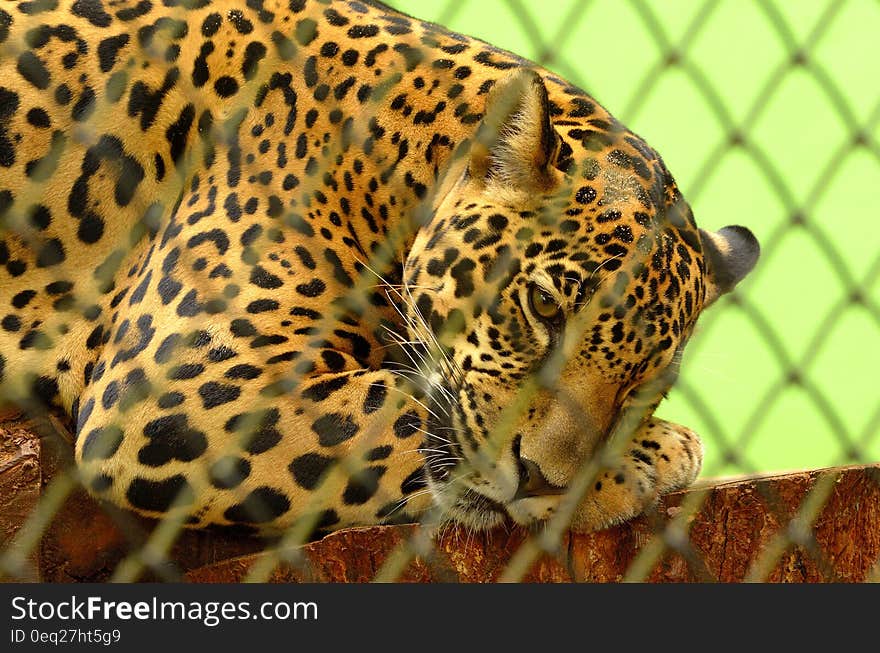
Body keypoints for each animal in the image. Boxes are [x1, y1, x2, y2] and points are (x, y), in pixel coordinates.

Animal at [0, 0, 756, 536]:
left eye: (644, 383)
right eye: (544, 306)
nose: (541, 479)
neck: (397, 154)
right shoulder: (178, 386)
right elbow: (397, 408)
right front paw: (653, 453)